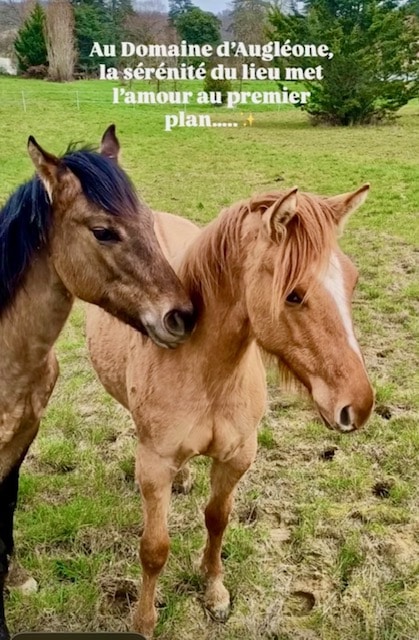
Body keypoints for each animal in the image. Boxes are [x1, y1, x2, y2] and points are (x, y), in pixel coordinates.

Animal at [87, 184, 375, 638]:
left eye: (352, 279)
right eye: (293, 294)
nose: (359, 405)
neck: (206, 373)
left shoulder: (238, 455)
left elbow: (217, 519)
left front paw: (215, 591)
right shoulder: (154, 463)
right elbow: (154, 548)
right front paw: (145, 621)